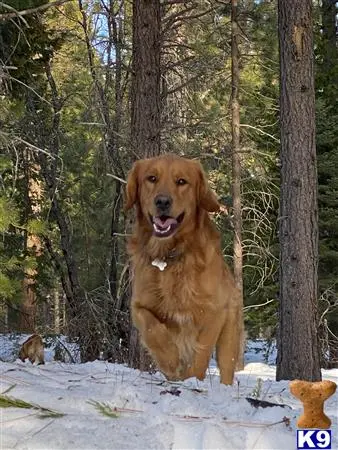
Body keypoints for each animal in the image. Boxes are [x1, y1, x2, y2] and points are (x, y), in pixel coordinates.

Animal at [125, 154, 242, 384]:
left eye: (181, 181)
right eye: (151, 178)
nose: (162, 201)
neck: (170, 255)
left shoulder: (214, 312)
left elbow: (201, 354)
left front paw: (192, 378)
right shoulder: (139, 305)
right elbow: (152, 328)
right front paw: (170, 362)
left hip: (229, 337)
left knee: (226, 368)